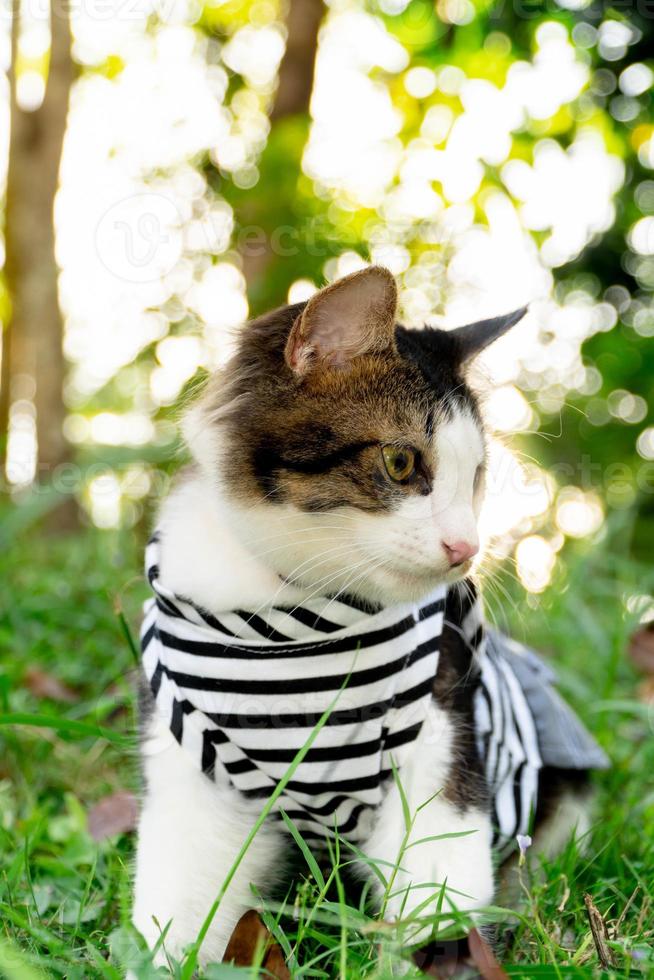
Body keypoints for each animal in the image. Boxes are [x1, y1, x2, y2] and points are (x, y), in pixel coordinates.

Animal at [133, 264, 608, 968]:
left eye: (474, 478)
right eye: (402, 463)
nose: (467, 548)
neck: (295, 620)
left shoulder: (441, 736)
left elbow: (439, 895)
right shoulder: (193, 769)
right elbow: (181, 904)